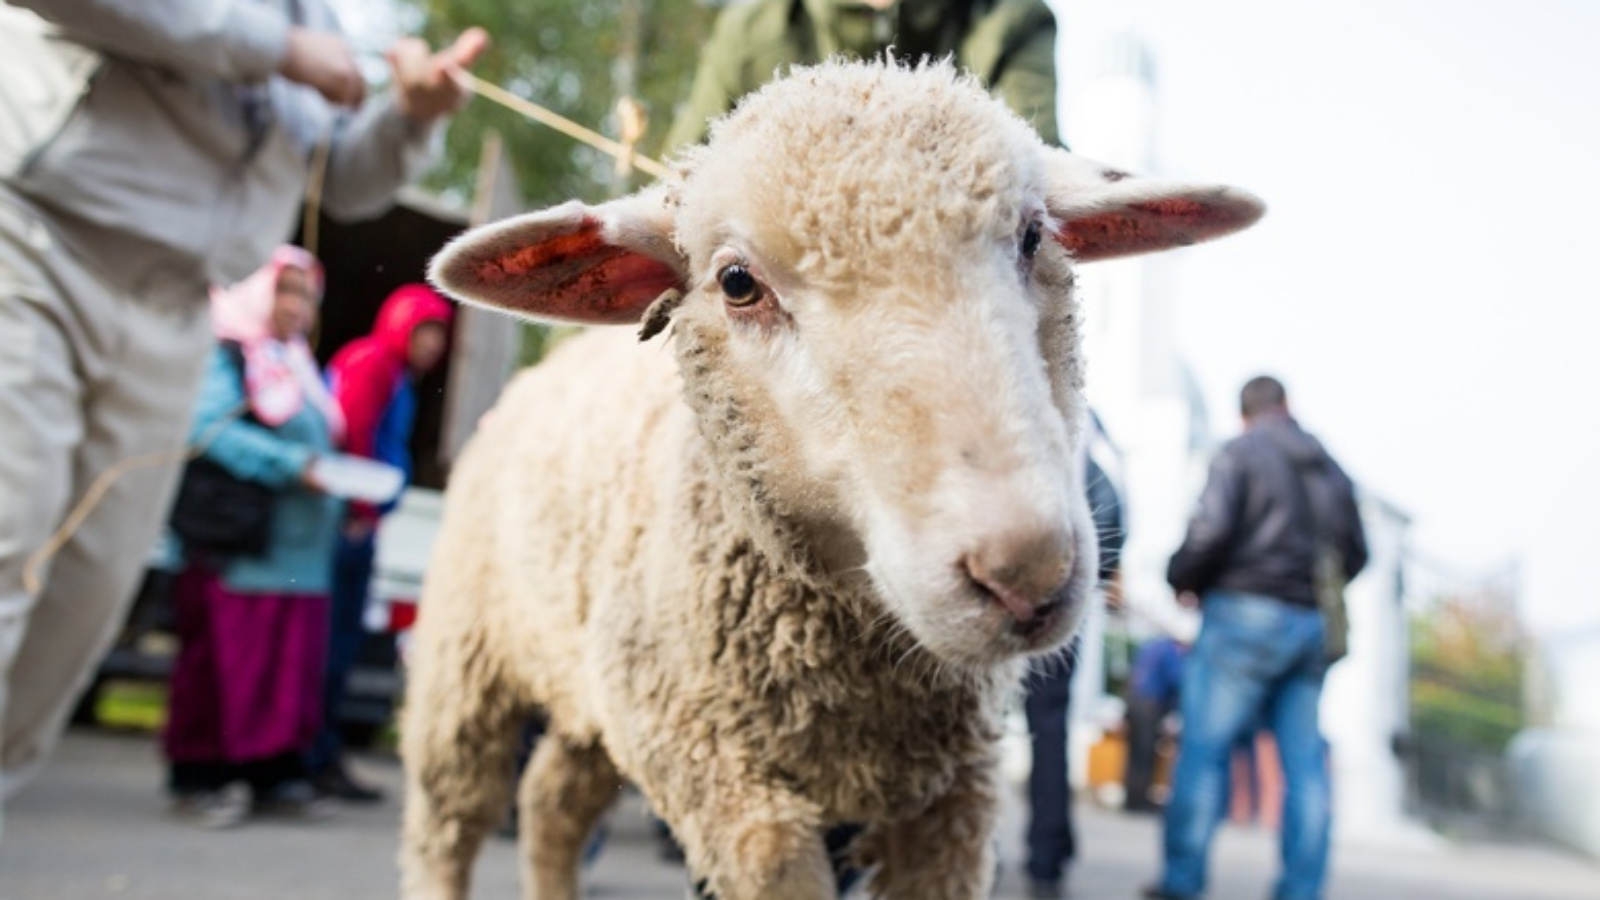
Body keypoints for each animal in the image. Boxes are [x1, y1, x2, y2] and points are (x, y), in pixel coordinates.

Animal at [400, 57, 1260, 896]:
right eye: (737, 283)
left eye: (1031, 235)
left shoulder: (955, 792)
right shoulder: (710, 761)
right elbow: (775, 859)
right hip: (467, 664)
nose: (1025, 571)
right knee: (451, 822)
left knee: (551, 801)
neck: (854, 667)